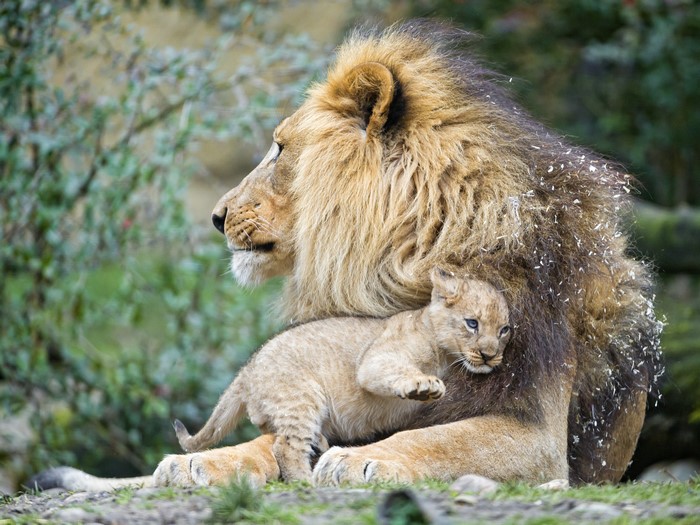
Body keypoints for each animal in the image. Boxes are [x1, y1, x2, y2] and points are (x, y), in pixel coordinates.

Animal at [30, 20, 662, 492]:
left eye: (280, 148)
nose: (216, 216)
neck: (408, 262)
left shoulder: (538, 432)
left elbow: (440, 436)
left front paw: (366, 459)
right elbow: (271, 436)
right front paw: (201, 461)